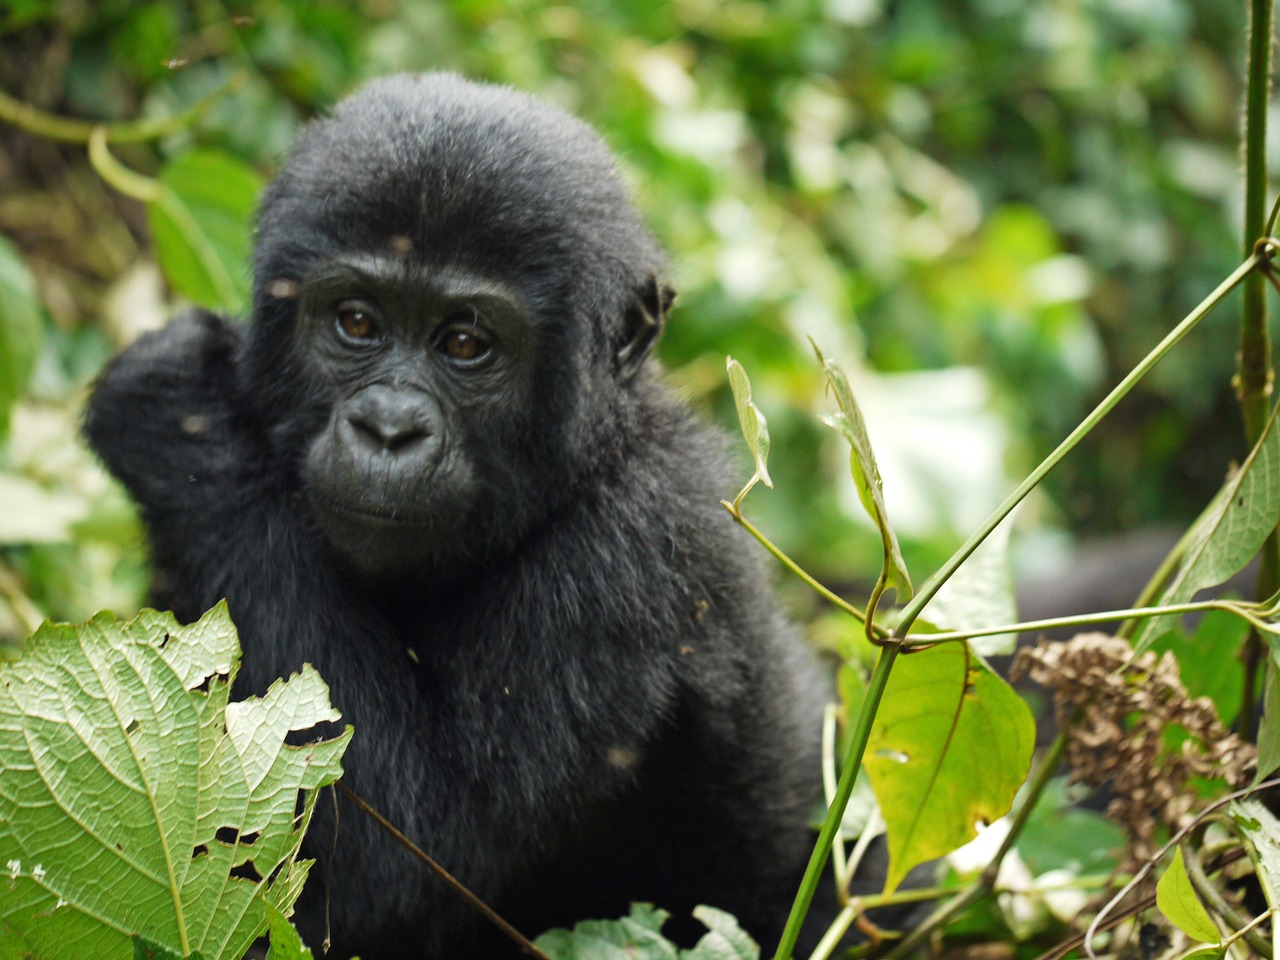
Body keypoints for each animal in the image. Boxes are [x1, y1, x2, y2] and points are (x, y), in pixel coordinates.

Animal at [90, 75, 824, 960]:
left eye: (466, 344)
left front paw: (179, 411)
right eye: (358, 322)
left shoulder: (639, 543)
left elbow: (400, 863)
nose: (389, 430)